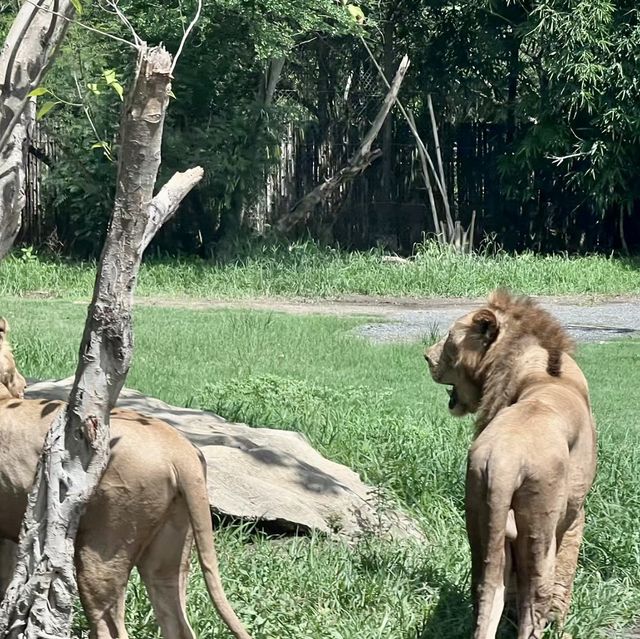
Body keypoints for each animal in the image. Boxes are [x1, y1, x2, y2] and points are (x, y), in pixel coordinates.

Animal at [0, 320, 252, 639]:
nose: (23, 385)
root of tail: (181, 450)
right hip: (168, 554)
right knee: (178, 623)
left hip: (103, 548)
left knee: (111, 627)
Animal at [424, 292, 596, 639]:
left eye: (448, 339)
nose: (426, 357)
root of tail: (505, 459)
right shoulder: (576, 513)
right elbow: (565, 572)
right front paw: (560, 624)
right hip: (540, 524)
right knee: (535, 593)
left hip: (479, 508)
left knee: (487, 588)